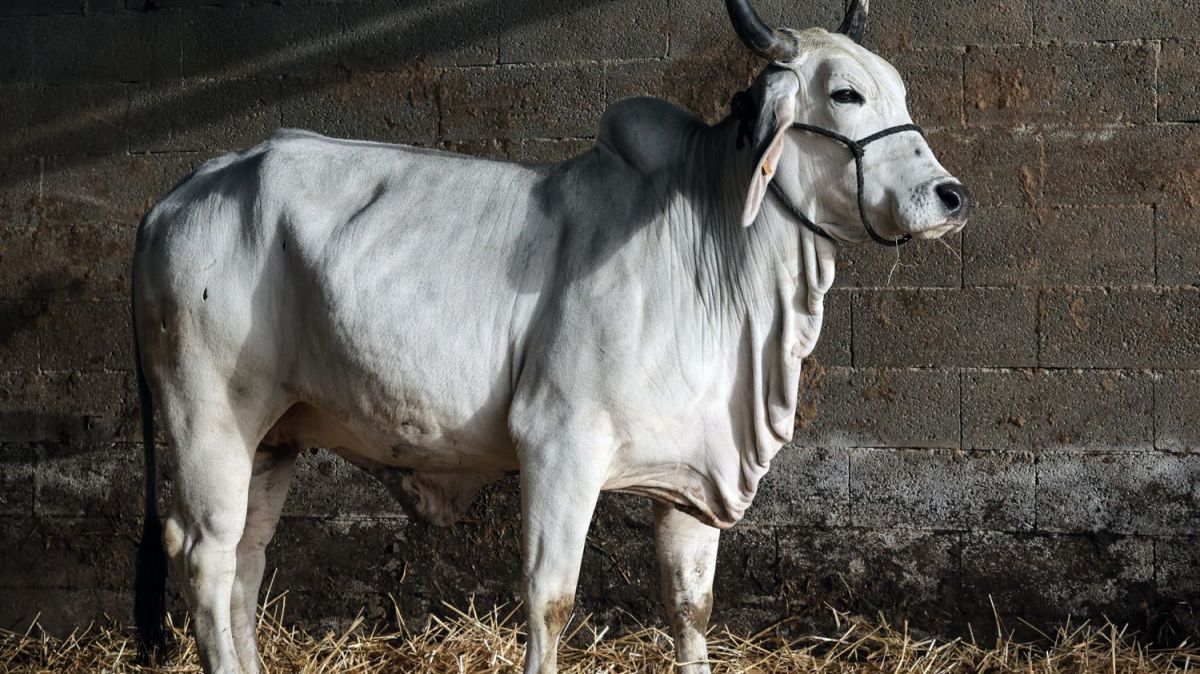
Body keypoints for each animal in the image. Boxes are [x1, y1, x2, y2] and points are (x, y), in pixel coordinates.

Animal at [131, 1, 970, 672]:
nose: (950, 196)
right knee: (205, 557)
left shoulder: (693, 473)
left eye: (897, 89)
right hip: (210, 416)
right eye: (846, 92)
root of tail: (191, 185)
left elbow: (691, 610)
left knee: (246, 562)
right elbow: (552, 601)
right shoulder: (559, 442)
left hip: (273, 435)